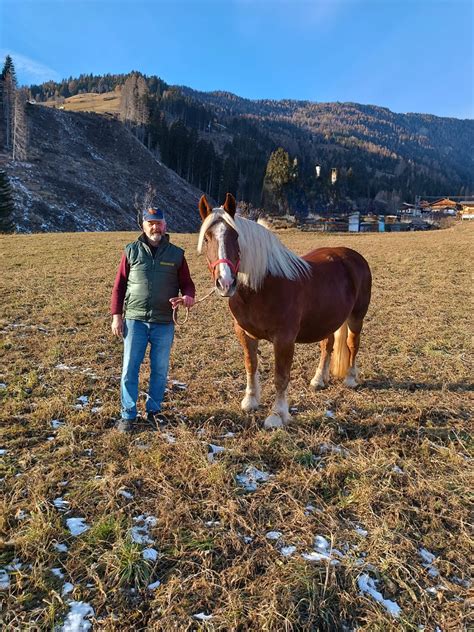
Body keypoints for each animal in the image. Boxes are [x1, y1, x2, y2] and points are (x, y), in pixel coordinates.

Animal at [198, 193, 372, 430]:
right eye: (207, 238)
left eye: (235, 237)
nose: (225, 283)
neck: (263, 286)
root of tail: (352, 256)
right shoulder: (244, 334)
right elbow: (250, 365)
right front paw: (250, 401)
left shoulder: (284, 340)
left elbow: (281, 377)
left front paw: (277, 416)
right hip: (328, 319)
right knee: (327, 346)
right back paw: (319, 379)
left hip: (356, 317)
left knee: (352, 344)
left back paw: (351, 379)